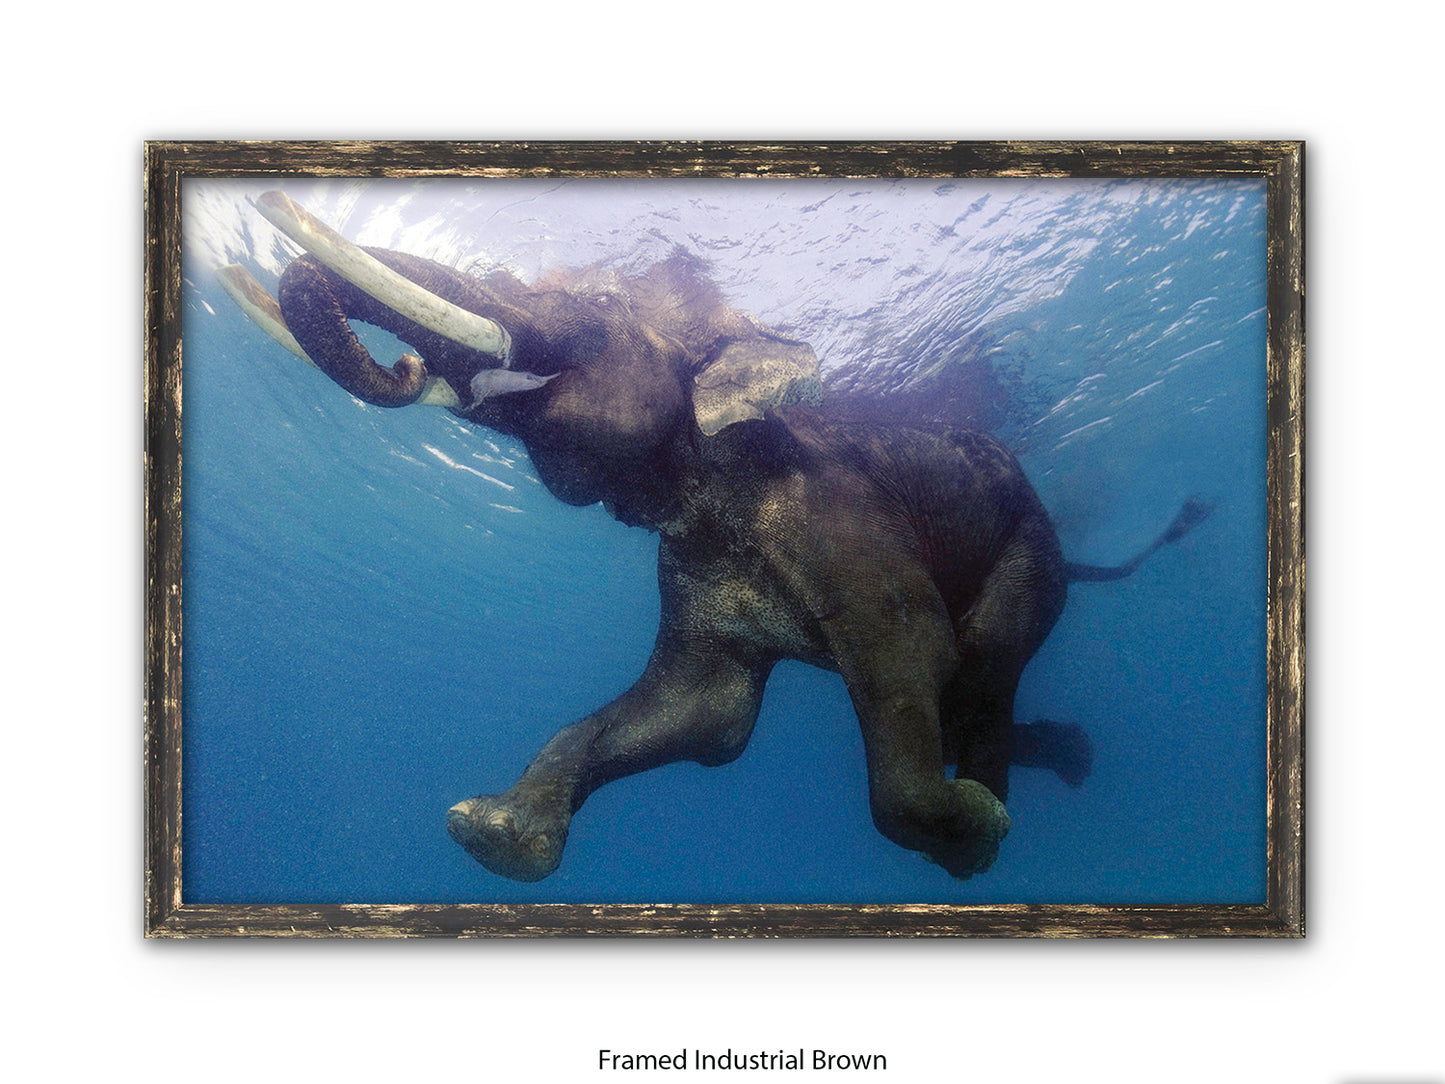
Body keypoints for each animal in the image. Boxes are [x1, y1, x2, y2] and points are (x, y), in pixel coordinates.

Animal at [229, 193, 1209, 882]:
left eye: (591, 306)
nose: (405, 363)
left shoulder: (841, 516)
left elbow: (910, 654)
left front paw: (968, 831)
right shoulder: (689, 566)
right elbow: (706, 713)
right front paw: (489, 831)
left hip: (1028, 551)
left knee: (981, 660)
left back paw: (992, 816)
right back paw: (1055, 762)